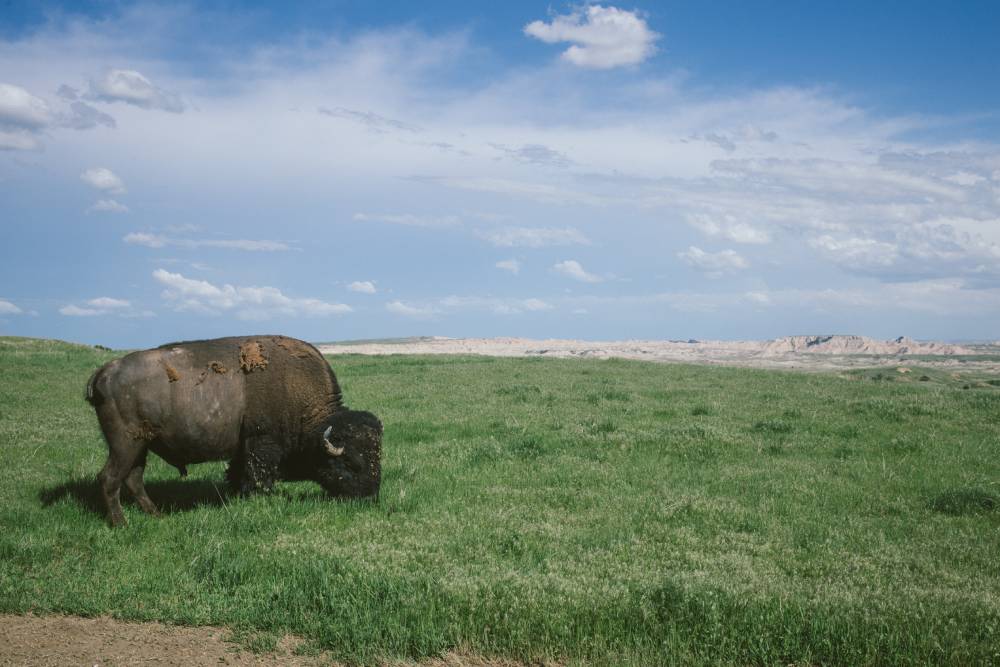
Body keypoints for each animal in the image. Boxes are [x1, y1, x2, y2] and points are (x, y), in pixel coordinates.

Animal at [85, 334, 382, 528]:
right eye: (352, 464)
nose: (370, 498)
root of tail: (105, 371)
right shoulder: (261, 443)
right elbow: (258, 476)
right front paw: (259, 499)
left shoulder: (243, 449)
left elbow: (239, 473)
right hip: (125, 444)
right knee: (110, 478)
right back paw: (121, 524)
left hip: (141, 446)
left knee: (133, 479)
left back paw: (156, 515)